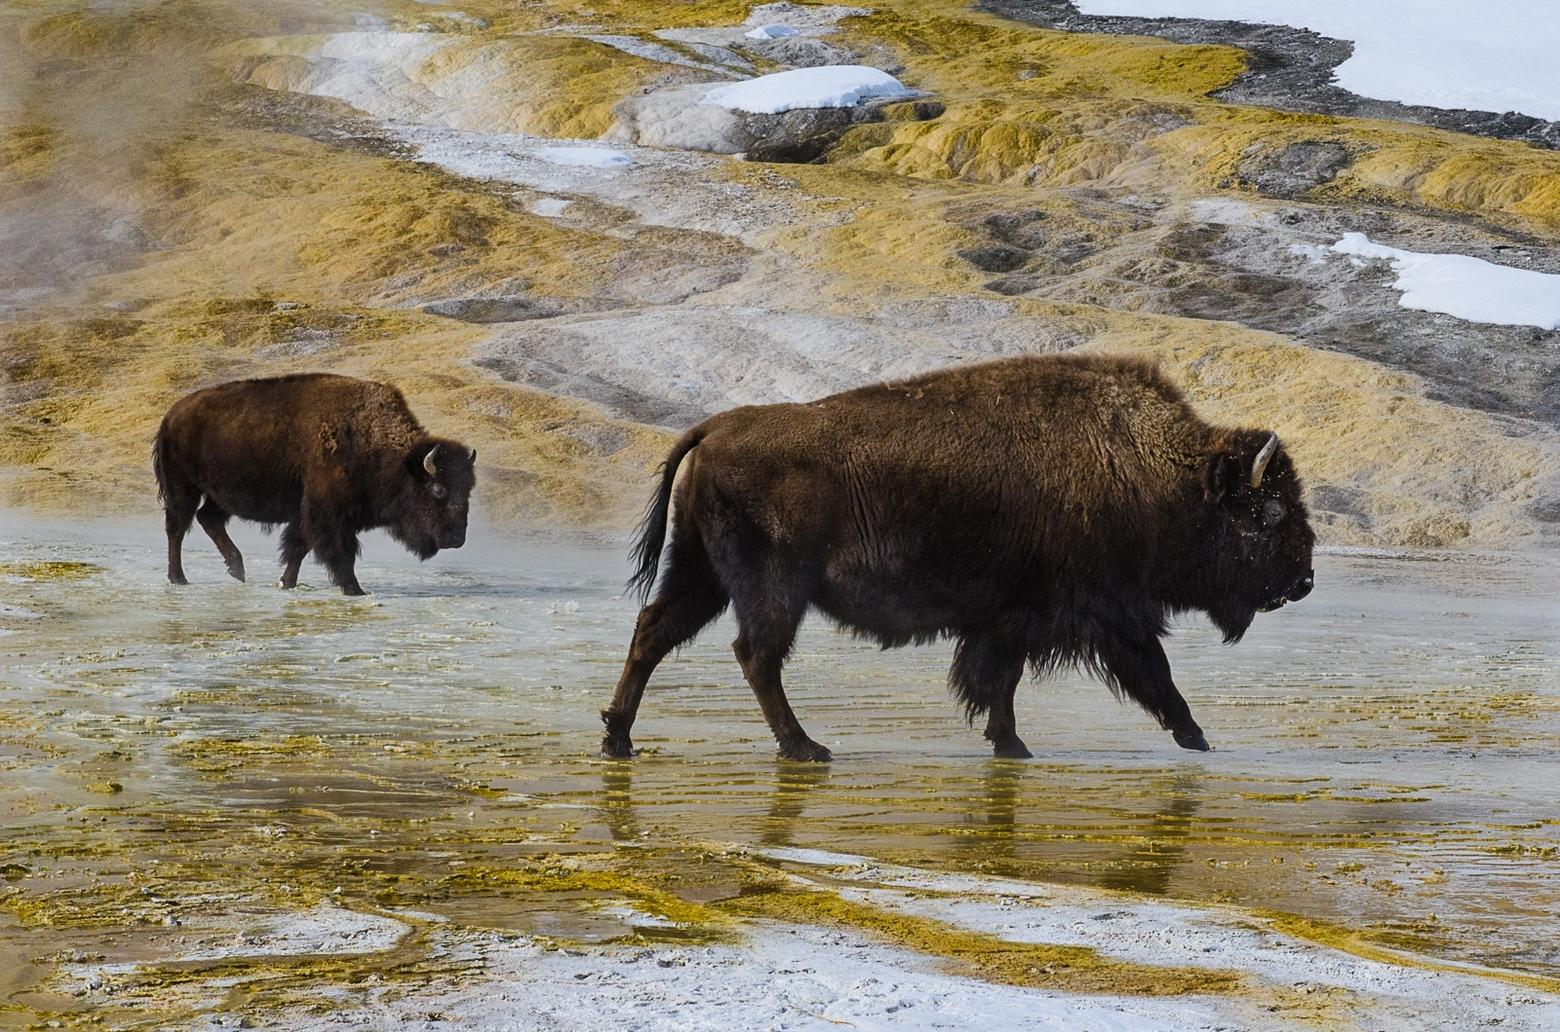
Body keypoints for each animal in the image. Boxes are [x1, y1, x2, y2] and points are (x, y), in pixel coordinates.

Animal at [157, 375, 477, 595]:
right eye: (439, 490)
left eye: (468, 490)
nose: (457, 539)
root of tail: (171, 415)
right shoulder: (327, 514)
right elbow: (340, 553)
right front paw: (355, 589)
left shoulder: (304, 513)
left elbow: (298, 547)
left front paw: (287, 583)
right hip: (183, 488)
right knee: (177, 528)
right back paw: (179, 578)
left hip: (220, 495)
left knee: (208, 518)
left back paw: (237, 569)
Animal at [602, 352, 1310, 763]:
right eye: (1271, 513)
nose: (1303, 580)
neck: (1152, 472)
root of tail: (713, 429)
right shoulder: (1100, 615)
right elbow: (1148, 672)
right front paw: (1195, 736)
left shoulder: (1012, 621)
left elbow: (999, 681)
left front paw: (1010, 743)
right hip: (771, 589)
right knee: (756, 656)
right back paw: (806, 748)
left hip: (703, 575)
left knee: (656, 632)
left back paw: (618, 740)